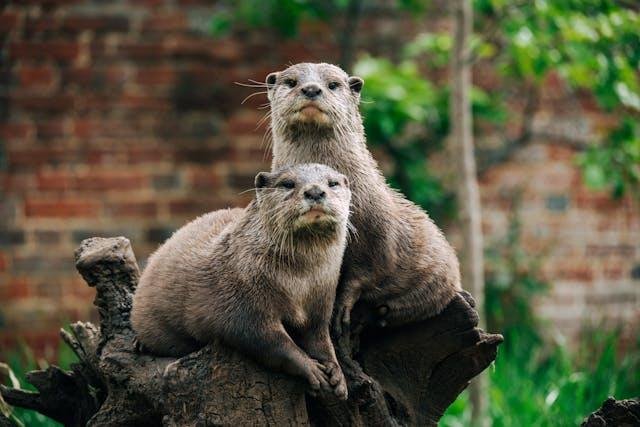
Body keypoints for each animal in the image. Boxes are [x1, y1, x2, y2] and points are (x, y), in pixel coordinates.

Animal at [131, 163, 351, 399]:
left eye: (332, 183)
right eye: (288, 183)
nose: (315, 191)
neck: (298, 284)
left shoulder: (321, 303)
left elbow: (321, 339)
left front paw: (336, 373)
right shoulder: (242, 301)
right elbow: (267, 340)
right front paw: (310, 368)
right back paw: (140, 344)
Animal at [266, 63, 461, 335]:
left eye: (333, 84)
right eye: (292, 82)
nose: (311, 88)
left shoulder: (376, 230)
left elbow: (367, 269)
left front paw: (341, 311)